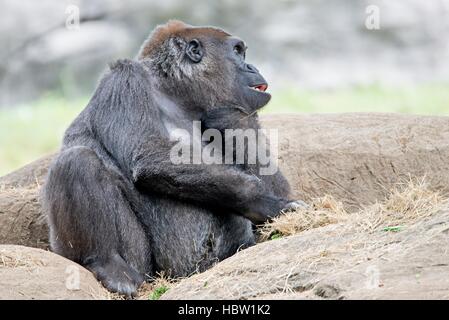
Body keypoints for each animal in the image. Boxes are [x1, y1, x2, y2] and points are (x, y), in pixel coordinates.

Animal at [42, 20, 304, 298]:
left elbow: (271, 178)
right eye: (237, 51)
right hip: (143, 270)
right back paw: (106, 263)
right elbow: (150, 155)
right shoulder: (125, 79)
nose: (252, 67)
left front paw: (233, 119)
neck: (174, 92)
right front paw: (263, 202)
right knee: (77, 161)